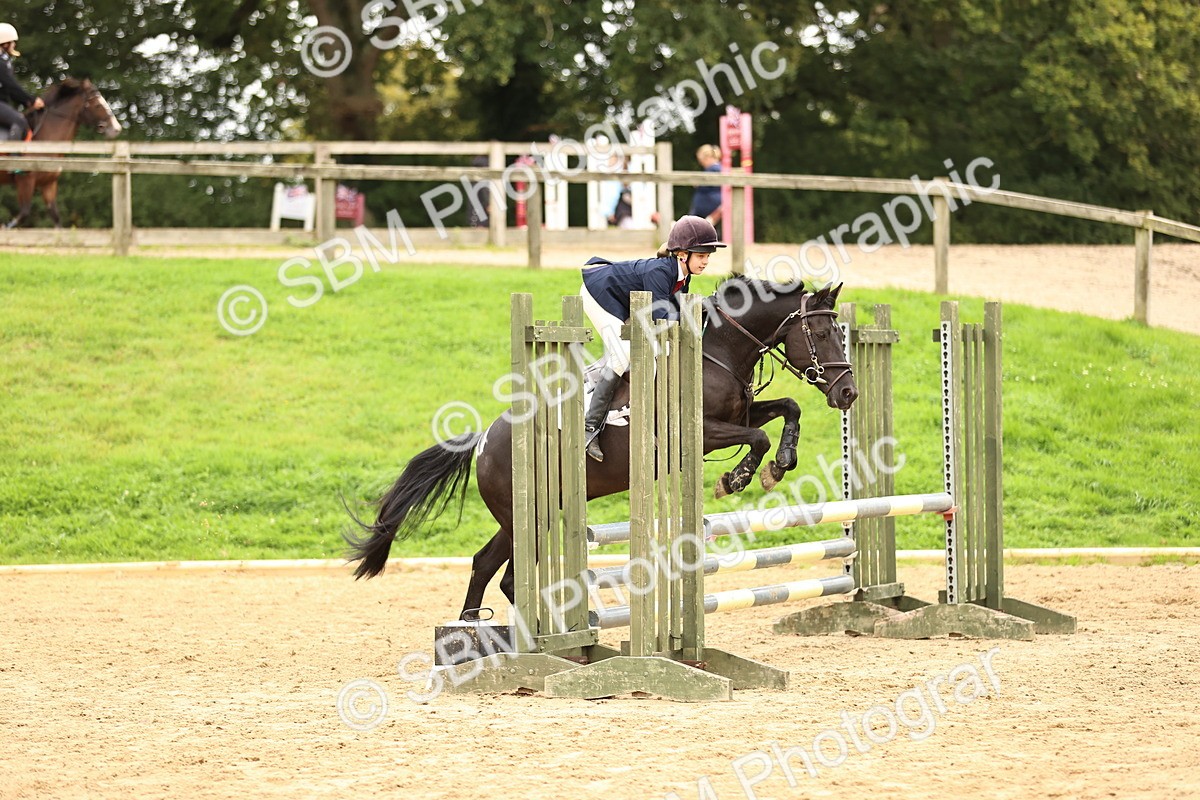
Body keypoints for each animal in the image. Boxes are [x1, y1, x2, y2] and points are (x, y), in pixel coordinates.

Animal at [0, 78, 122, 228]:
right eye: (98, 105)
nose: (116, 129)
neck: (43, 140)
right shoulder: (25, 181)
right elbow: (23, 214)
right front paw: (5, 227)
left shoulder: (49, 184)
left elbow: (56, 219)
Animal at [345, 279, 858, 620]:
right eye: (822, 335)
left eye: (841, 333)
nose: (848, 393)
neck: (718, 350)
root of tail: (484, 440)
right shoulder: (700, 432)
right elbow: (759, 438)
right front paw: (739, 477)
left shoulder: (740, 415)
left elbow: (788, 409)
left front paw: (781, 465)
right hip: (525, 515)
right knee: (504, 571)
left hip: (532, 514)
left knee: (487, 565)